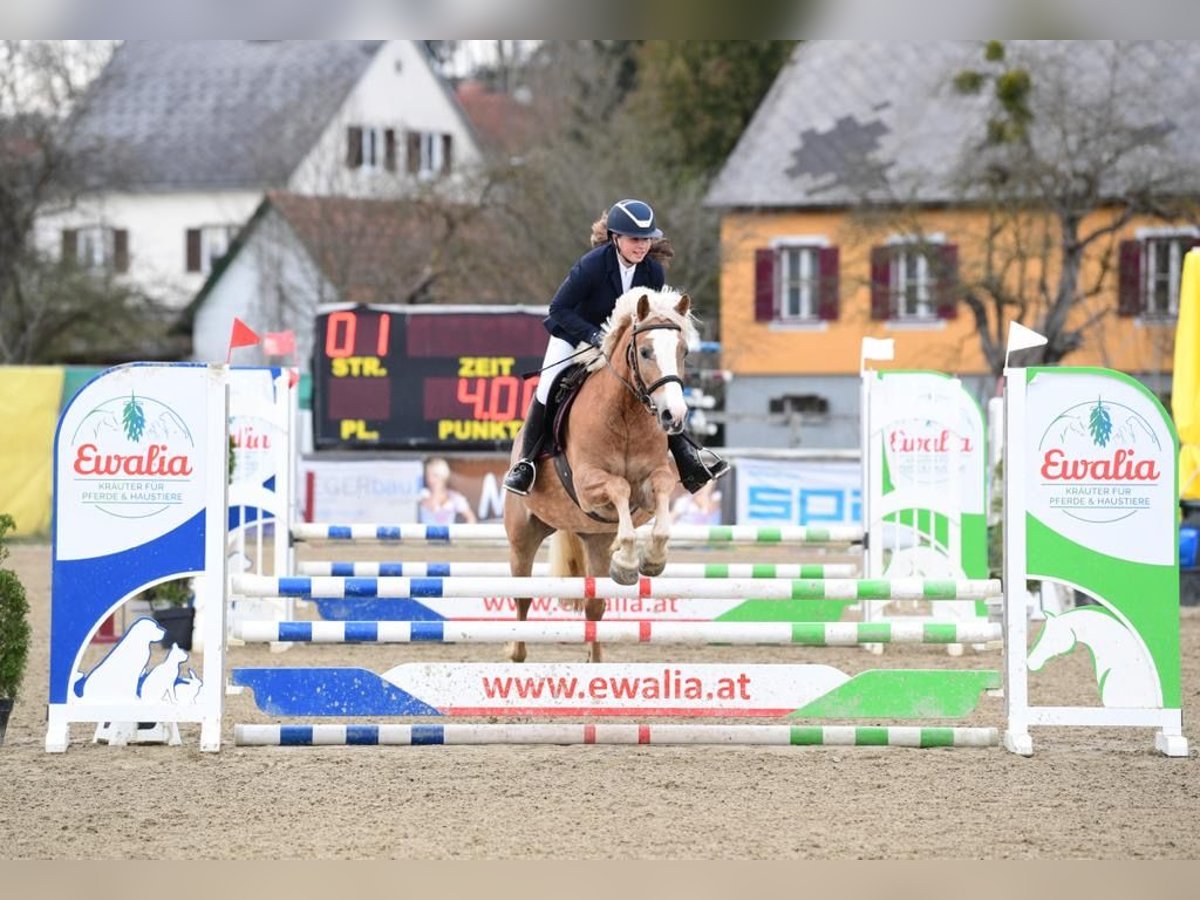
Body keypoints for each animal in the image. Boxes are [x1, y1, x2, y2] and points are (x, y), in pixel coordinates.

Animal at [504, 286, 696, 662]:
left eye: (684, 350)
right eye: (645, 351)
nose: (674, 416)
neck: (627, 415)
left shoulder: (653, 479)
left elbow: (661, 492)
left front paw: (647, 561)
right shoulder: (587, 482)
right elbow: (619, 486)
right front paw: (629, 557)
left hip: (594, 538)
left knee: (594, 605)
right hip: (523, 535)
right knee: (522, 597)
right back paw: (517, 653)